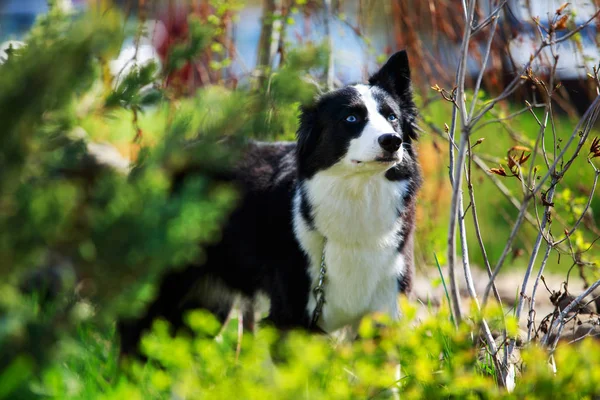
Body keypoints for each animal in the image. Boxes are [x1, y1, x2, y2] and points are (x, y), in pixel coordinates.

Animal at [119, 50, 422, 354]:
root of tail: (156, 160)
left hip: (207, 304)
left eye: (392, 117)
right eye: (351, 118)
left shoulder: (386, 312)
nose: (392, 141)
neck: (358, 196)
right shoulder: (290, 317)